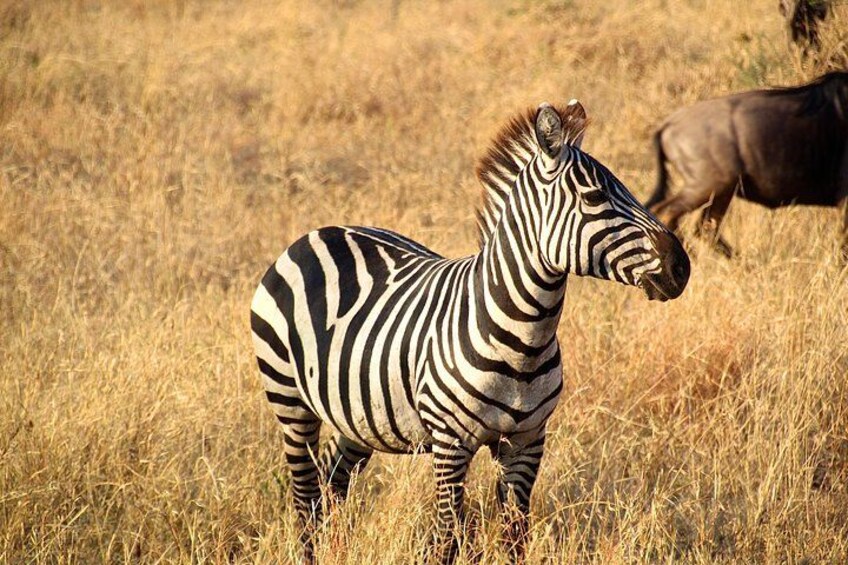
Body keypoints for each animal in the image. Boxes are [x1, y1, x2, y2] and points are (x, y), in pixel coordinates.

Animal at [250, 101, 690, 563]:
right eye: (595, 197)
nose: (681, 267)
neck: (525, 340)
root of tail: (317, 233)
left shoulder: (526, 442)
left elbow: (515, 536)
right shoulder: (450, 444)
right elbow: (448, 536)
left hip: (356, 415)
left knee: (333, 482)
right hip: (289, 400)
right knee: (305, 497)